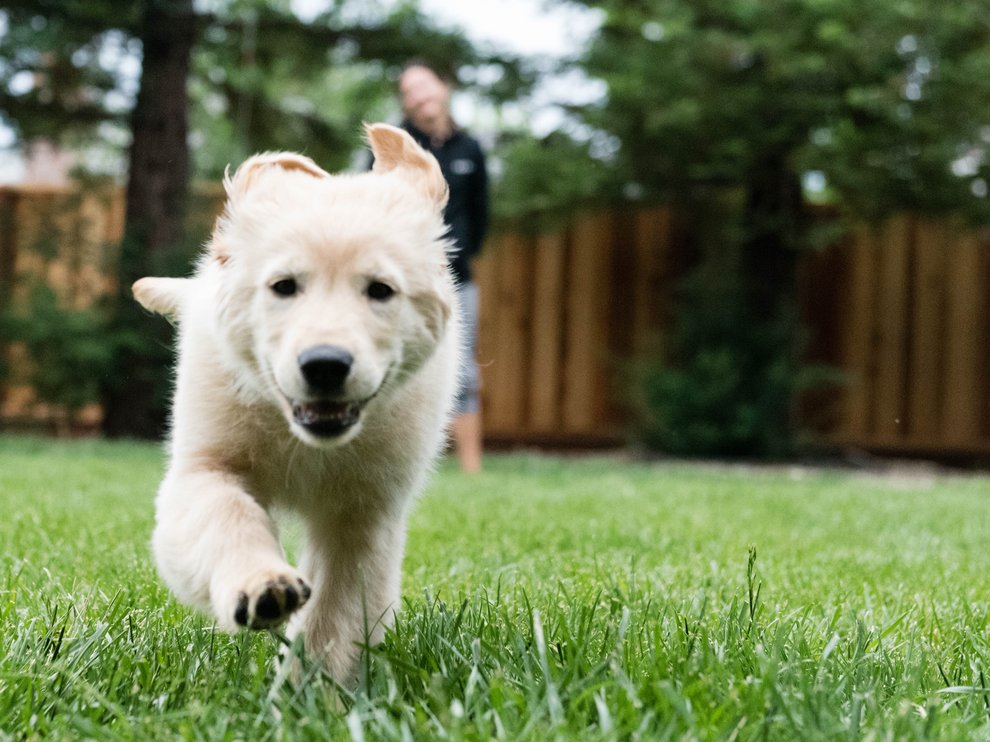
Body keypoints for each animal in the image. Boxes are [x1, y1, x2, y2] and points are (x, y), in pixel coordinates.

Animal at [134, 123, 464, 684]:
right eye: (284, 286)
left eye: (380, 290)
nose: (326, 365)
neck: (304, 438)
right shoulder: (204, 467)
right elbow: (227, 515)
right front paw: (262, 586)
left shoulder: (363, 514)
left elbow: (333, 614)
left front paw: (308, 692)